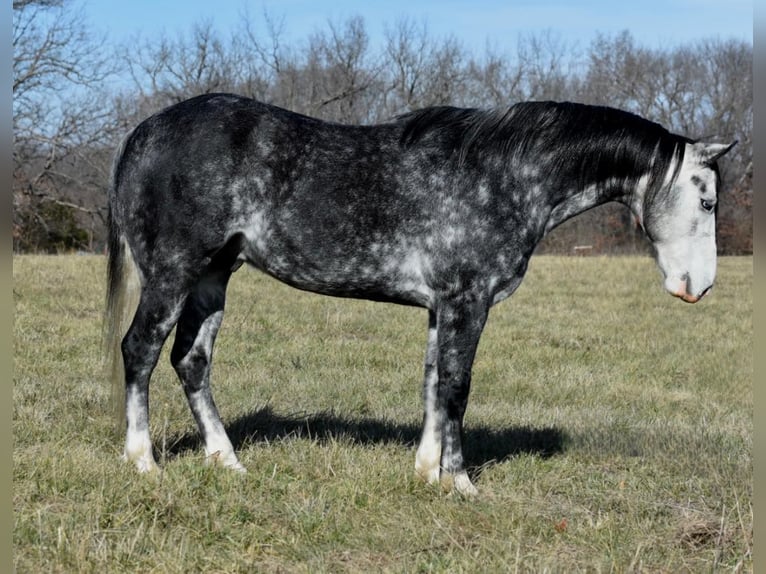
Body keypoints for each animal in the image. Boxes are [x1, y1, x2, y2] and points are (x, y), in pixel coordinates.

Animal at [105, 93, 736, 496]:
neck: (505, 175)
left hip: (215, 275)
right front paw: (459, 482)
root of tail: (144, 133)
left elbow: (433, 383)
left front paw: (426, 471)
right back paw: (143, 462)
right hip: (174, 272)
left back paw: (227, 460)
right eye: (707, 202)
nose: (699, 287)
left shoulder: (440, 307)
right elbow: (457, 387)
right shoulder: (466, 301)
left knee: (191, 360)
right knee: (140, 350)